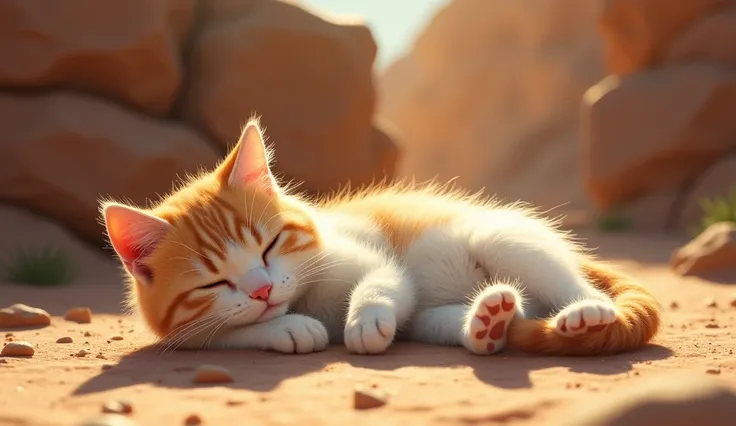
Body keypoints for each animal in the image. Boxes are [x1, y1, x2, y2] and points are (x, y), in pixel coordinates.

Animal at [99, 118, 660, 354]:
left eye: (270, 245)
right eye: (213, 283)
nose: (262, 290)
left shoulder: (365, 255)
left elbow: (382, 279)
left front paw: (365, 320)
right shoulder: (183, 330)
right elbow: (227, 333)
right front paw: (287, 329)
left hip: (504, 237)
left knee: (568, 285)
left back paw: (585, 312)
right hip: (439, 318)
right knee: (489, 316)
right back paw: (487, 323)